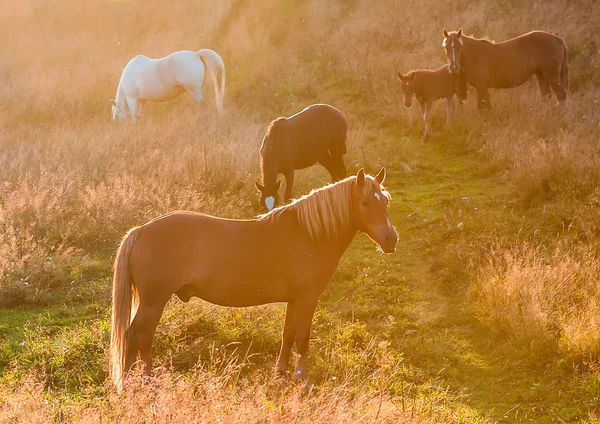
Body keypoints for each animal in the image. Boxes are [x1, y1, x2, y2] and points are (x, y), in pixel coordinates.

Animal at [110, 166, 398, 390]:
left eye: (385, 201)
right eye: (365, 202)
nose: (391, 240)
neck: (309, 233)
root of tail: (142, 230)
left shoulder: (294, 300)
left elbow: (288, 335)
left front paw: (281, 372)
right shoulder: (307, 299)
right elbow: (303, 338)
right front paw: (302, 378)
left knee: (143, 338)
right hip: (153, 302)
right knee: (136, 336)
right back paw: (136, 384)